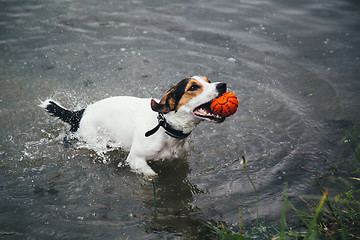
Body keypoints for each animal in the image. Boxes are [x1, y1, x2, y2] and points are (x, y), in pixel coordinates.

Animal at [40, 76, 231, 177]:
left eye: (208, 81)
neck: (164, 127)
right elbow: (153, 176)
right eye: (193, 87)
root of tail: (79, 113)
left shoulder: (178, 159)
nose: (223, 85)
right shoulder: (136, 160)